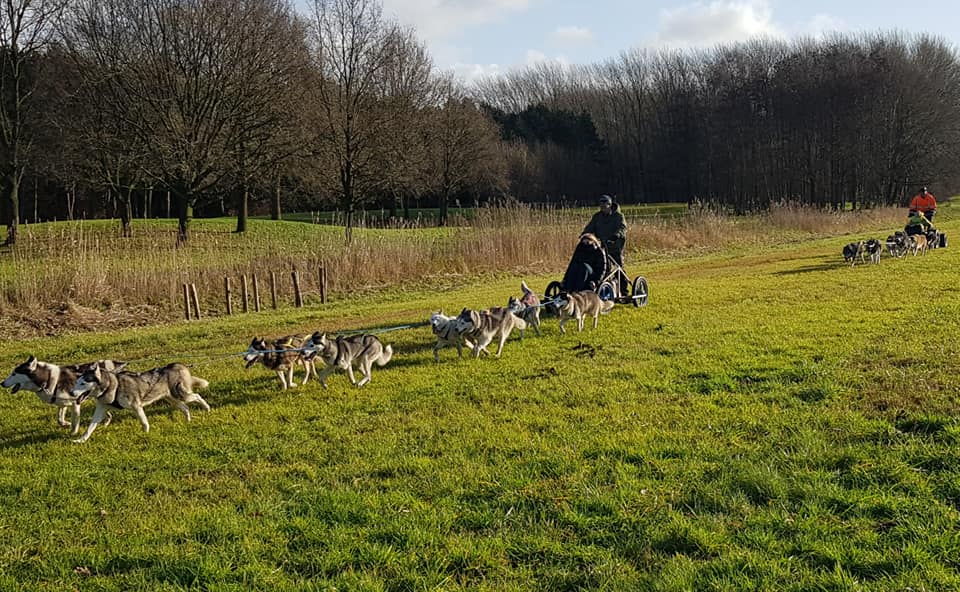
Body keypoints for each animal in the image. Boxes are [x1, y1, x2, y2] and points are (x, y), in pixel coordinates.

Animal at [69, 360, 210, 444]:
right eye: (76, 382)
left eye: (83, 383)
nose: (71, 393)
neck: (112, 386)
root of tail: (178, 364)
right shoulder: (100, 409)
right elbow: (90, 428)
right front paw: (81, 440)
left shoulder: (136, 406)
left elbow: (144, 422)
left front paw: (146, 434)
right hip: (172, 399)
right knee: (185, 408)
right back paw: (188, 420)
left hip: (181, 394)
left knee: (197, 396)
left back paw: (207, 409)